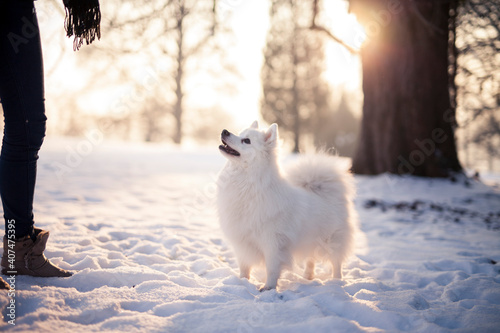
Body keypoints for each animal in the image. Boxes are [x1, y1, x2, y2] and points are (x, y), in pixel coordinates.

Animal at [217, 120, 358, 290]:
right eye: (240, 134)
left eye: (246, 141)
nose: (224, 131)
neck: (248, 184)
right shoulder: (242, 242)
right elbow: (244, 267)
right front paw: (241, 283)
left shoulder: (273, 243)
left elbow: (272, 268)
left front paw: (268, 288)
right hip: (311, 238)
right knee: (311, 259)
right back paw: (308, 277)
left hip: (333, 240)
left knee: (336, 262)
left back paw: (337, 281)